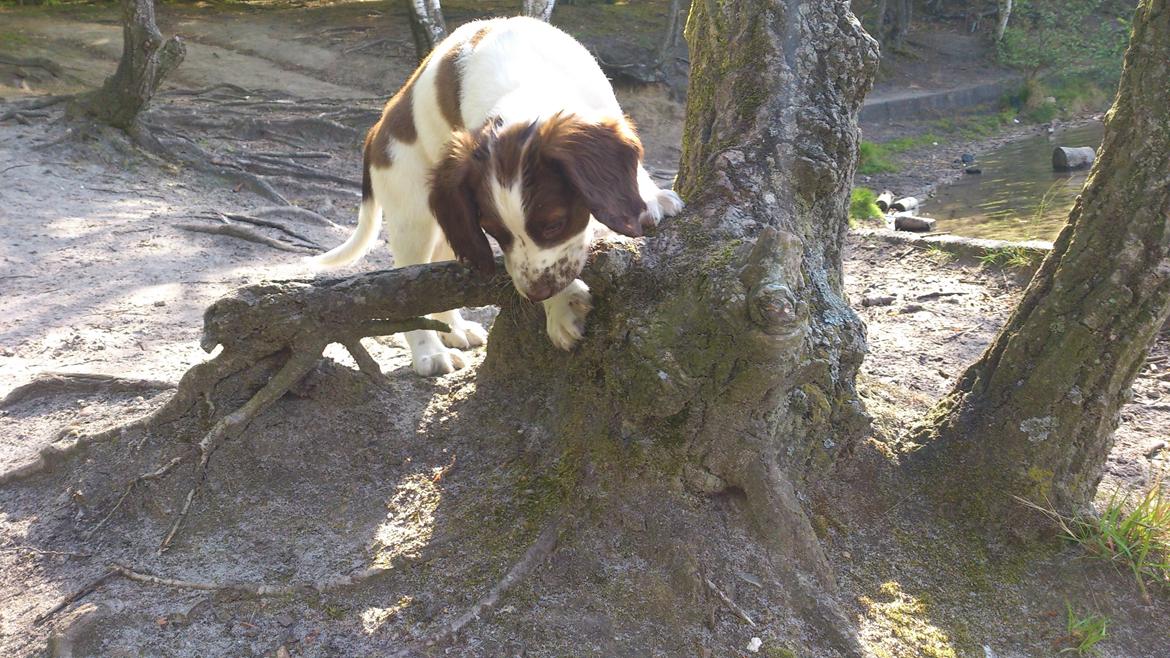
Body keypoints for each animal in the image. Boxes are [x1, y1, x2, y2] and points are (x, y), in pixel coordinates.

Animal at [315, 16, 687, 374]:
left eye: (554, 224)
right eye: (494, 232)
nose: (537, 294)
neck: (526, 79)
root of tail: (376, 130)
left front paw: (649, 196)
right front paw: (561, 308)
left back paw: (455, 330)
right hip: (414, 213)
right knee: (410, 279)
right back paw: (429, 353)